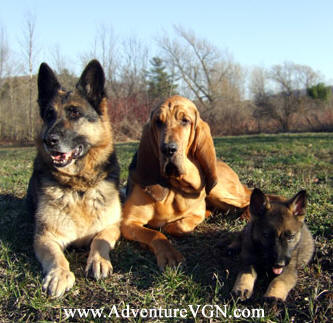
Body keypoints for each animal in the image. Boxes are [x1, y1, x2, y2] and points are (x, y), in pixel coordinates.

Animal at [26, 60, 120, 298]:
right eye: (49, 114)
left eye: (75, 113)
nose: (48, 140)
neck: (79, 187)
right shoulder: (44, 237)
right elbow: (56, 256)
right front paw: (59, 275)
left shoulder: (112, 225)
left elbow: (99, 241)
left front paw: (98, 261)